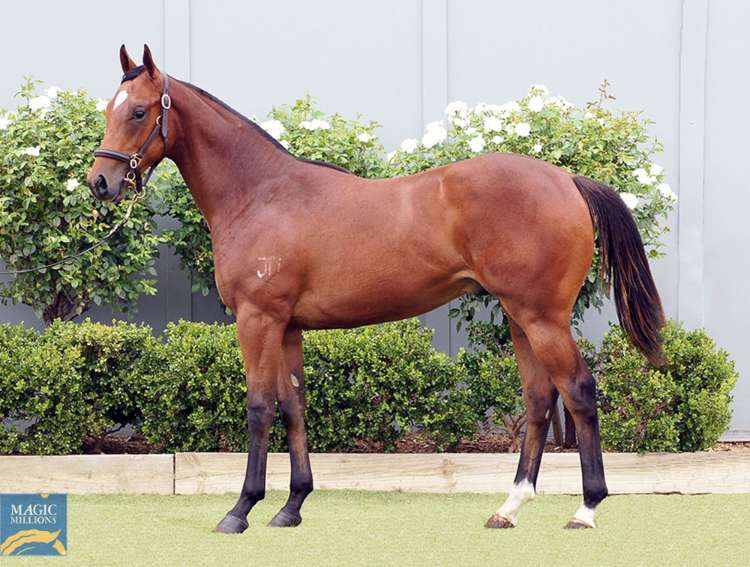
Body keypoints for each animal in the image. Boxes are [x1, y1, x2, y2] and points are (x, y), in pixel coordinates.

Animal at [87, 45, 665, 532]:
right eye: (109, 110)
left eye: (138, 112)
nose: (100, 183)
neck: (262, 194)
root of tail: (567, 180)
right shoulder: (288, 327)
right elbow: (293, 407)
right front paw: (292, 507)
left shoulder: (258, 319)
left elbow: (258, 407)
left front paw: (241, 510)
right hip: (520, 317)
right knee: (541, 397)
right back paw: (510, 507)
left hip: (542, 317)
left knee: (579, 391)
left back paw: (586, 509)